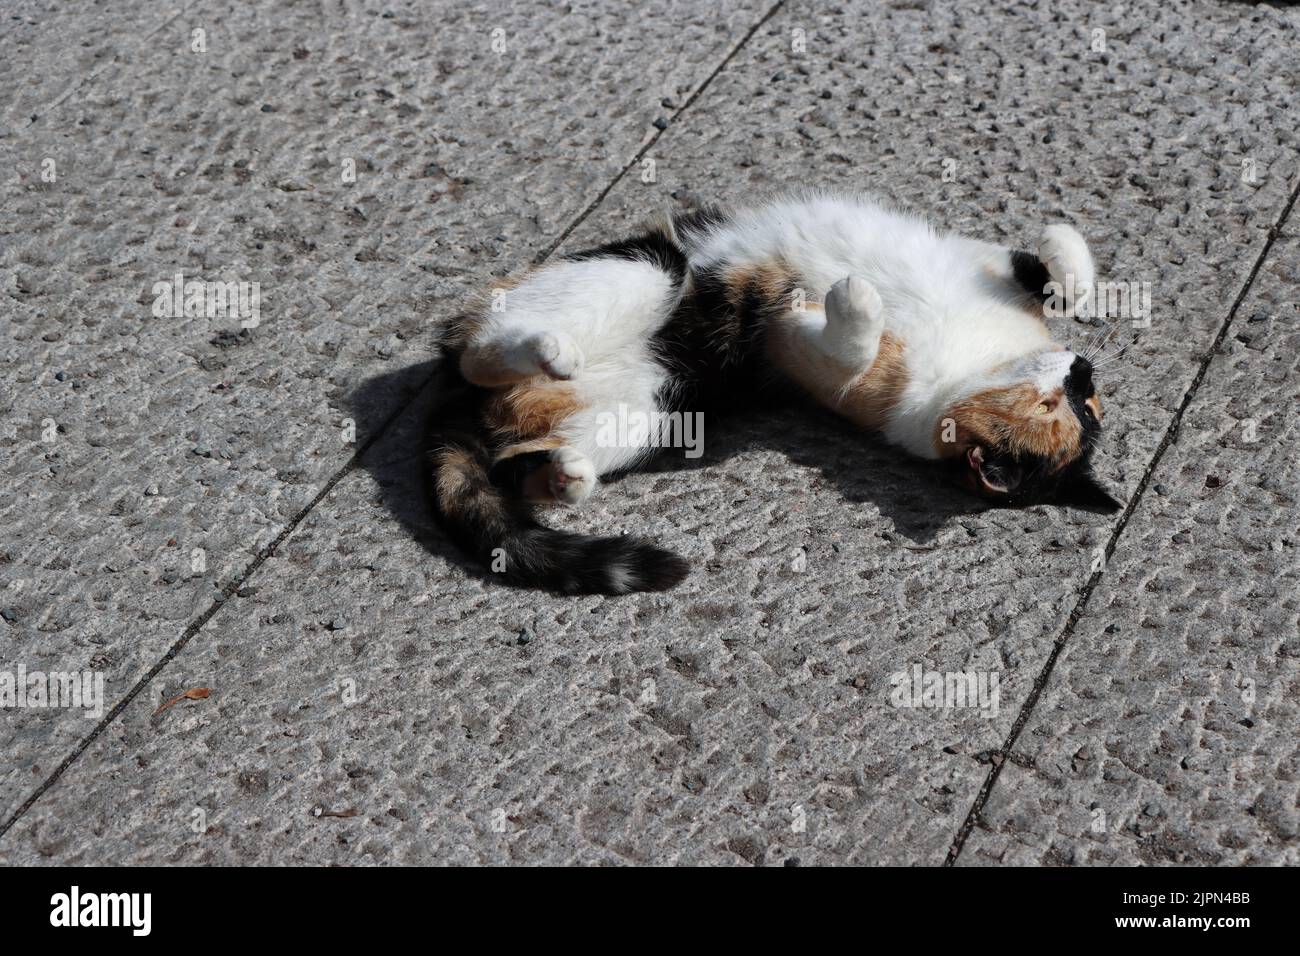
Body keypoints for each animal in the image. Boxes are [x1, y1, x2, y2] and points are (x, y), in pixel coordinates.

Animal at [426, 191, 1118, 595]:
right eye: (1072, 405)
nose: (1082, 370)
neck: (969, 363)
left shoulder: (813, 365)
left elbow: (846, 348)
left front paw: (852, 303)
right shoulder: (990, 267)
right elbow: (1058, 280)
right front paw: (1059, 240)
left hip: (660, 407)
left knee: (513, 440)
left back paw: (566, 467)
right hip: (647, 269)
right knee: (478, 349)